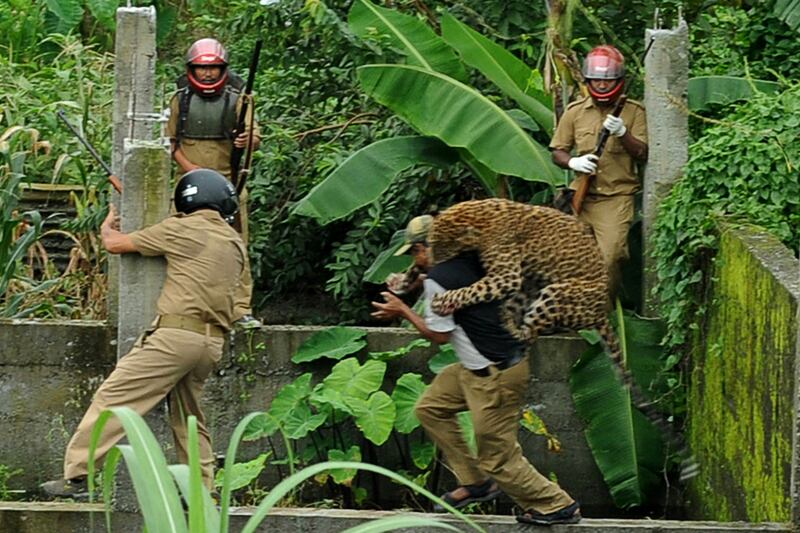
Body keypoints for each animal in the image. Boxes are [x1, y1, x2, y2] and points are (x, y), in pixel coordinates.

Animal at [396, 197, 696, 480]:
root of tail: (601, 312)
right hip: (530, 285)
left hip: (555, 291)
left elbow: (475, 288)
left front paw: (443, 299)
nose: (434, 261)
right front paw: (402, 280)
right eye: (433, 247)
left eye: (444, 249)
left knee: (528, 333)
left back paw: (510, 325)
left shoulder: (506, 276)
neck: (479, 216)